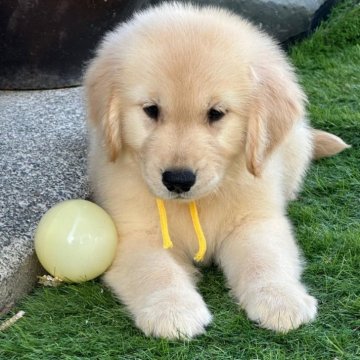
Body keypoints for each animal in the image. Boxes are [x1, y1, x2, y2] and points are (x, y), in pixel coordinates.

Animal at [84, 2, 348, 338]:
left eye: (216, 113)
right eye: (151, 110)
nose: (178, 180)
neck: (197, 203)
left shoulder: (255, 219)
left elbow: (265, 258)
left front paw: (280, 298)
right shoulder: (132, 233)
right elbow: (156, 270)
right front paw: (173, 309)